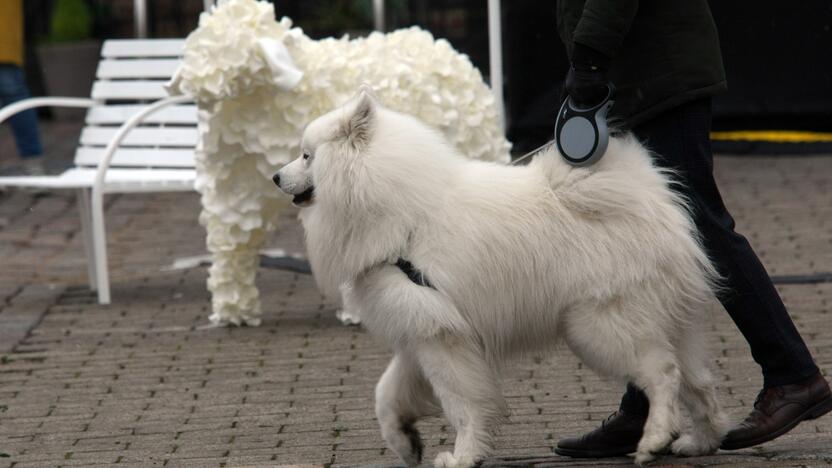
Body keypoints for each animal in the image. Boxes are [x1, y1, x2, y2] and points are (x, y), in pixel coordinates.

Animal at [274, 87, 728, 464]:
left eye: (307, 156)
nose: (276, 176)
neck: (399, 210)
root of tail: (651, 197)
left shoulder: (441, 338)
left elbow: (461, 404)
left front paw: (462, 456)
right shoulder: (421, 329)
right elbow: (386, 394)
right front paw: (405, 442)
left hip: (599, 325)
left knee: (664, 374)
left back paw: (654, 440)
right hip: (664, 323)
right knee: (698, 382)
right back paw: (701, 441)